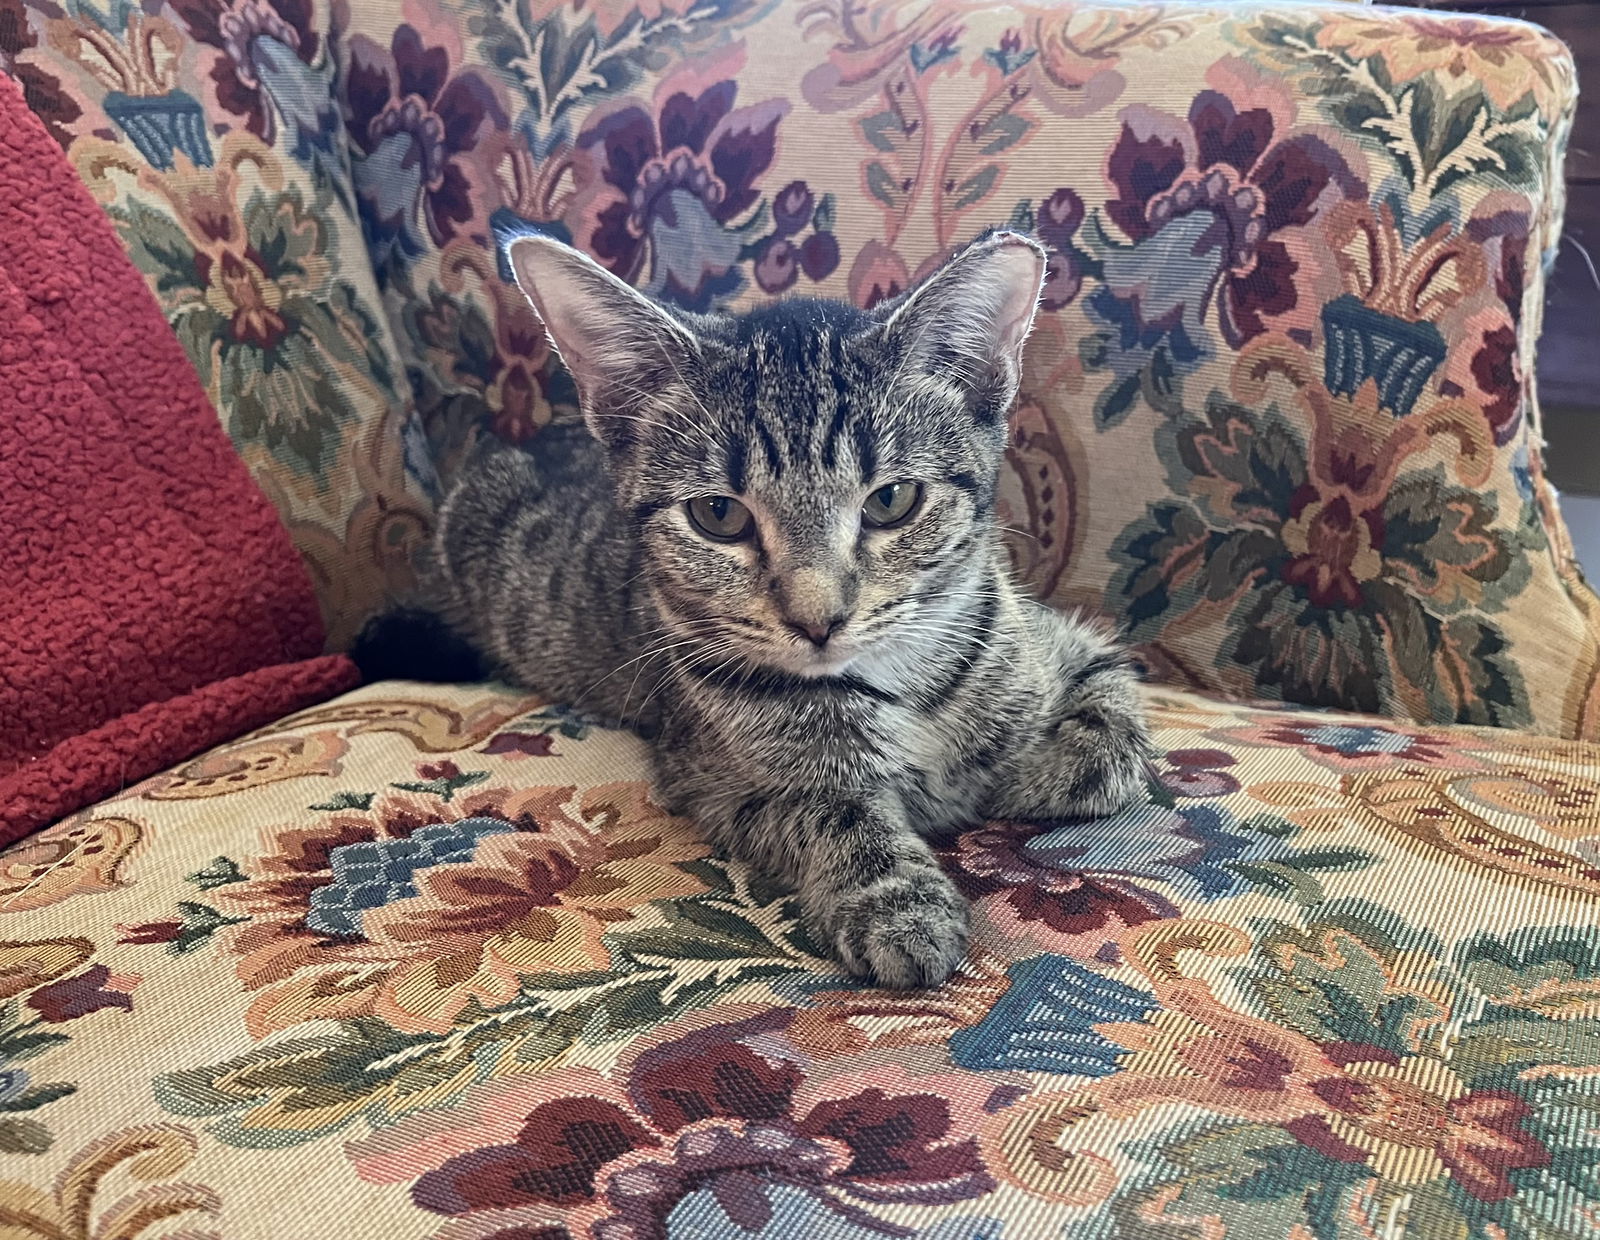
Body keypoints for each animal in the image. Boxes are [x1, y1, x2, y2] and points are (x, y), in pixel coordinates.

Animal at [353, 230, 1152, 992]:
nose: (817, 619)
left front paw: (1017, 772)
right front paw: (896, 898)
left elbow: (1113, 734)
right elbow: (833, 807)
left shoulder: (1052, 637)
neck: (895, 683)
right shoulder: (714, 780)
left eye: (892, 500)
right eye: (718, 515)